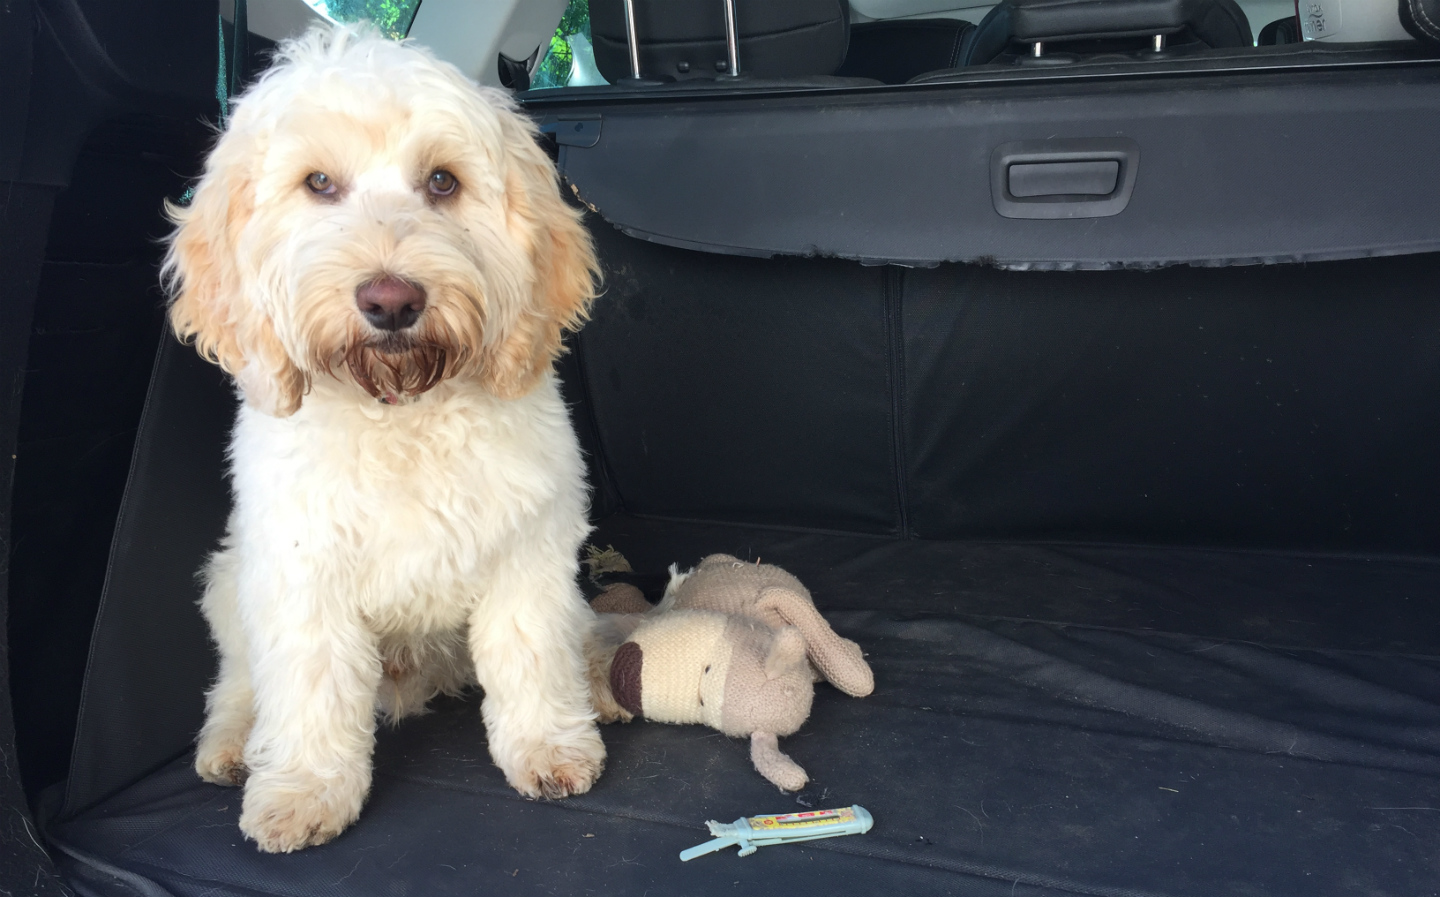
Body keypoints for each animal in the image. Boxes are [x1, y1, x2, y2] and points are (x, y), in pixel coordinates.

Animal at [162, 28, 601, 852]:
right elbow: (308, 681)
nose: (391, 300)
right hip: (231, 580)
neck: (400, 407)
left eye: (442, 181)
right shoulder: (300, 567)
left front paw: (548, 744)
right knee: (238, 680)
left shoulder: (529, 545)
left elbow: (530, 649)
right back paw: (233, 743)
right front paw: (304, 788)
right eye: (318, 183)